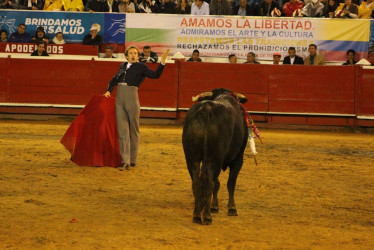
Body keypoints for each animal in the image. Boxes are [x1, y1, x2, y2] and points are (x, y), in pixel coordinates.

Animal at [182, 89, 248, 225]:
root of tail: (206, 109)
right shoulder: (238, 159)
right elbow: (230, 183)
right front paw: (231, 208)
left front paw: (214, 206)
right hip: (214, 159)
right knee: (210, 183)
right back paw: (207, 216)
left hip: (191, 158)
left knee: (197, 182)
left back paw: (197, 215)